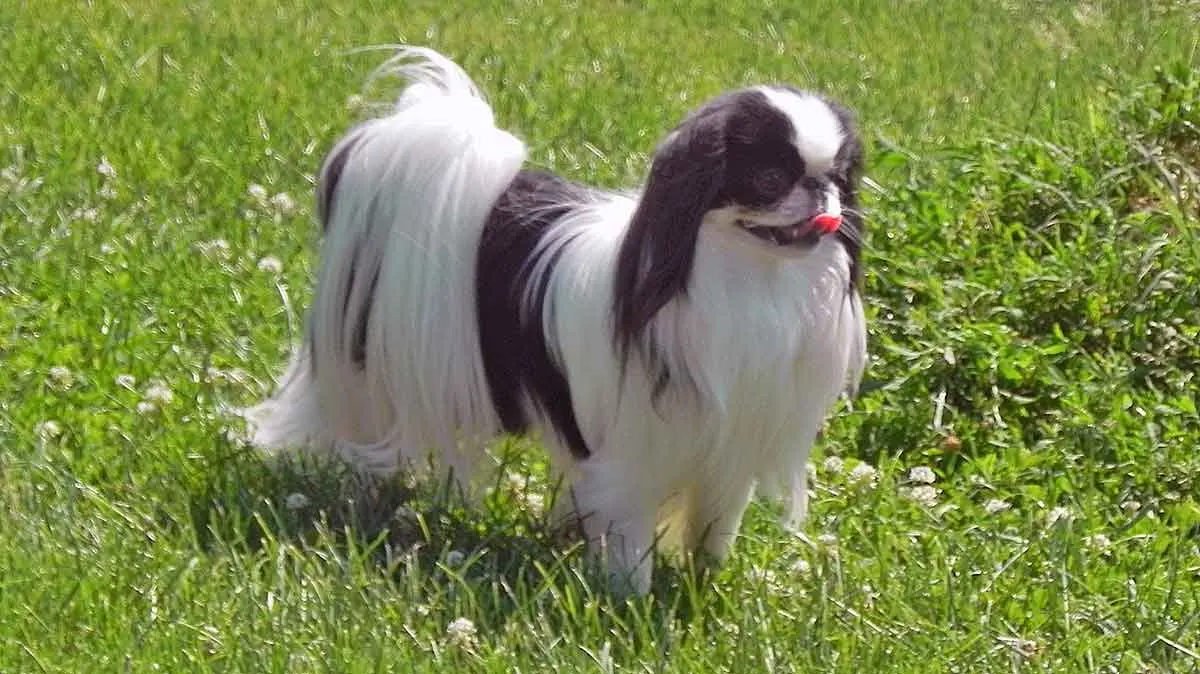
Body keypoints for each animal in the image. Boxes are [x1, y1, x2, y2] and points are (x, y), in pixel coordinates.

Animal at [248, 45, 868, 592]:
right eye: (767, 180)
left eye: (839, 177)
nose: (821, 193)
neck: (749, 280)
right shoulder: (629, 462)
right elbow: (630, 548)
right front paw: (631, 606)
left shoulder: (728, 455)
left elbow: (712, 536)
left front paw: (702, 588)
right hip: (368, 383)